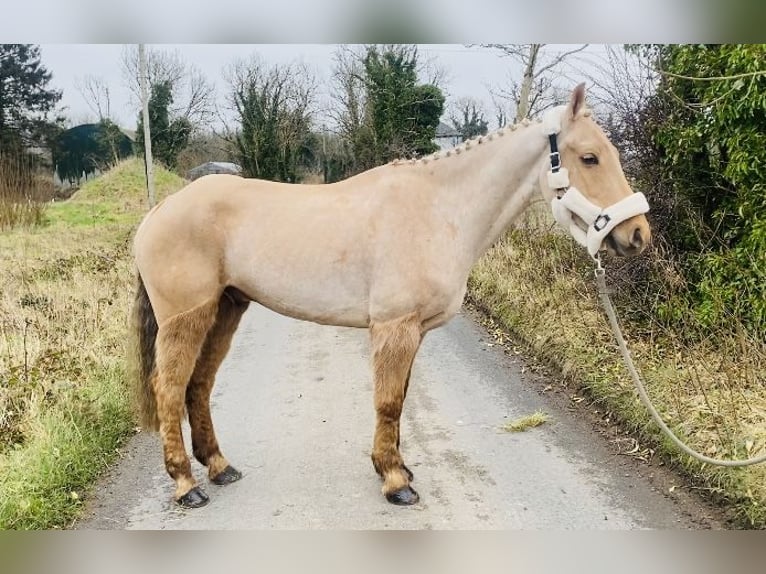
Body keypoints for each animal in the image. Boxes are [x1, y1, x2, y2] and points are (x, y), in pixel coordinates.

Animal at [129, 84, 652, 508]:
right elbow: (387, 402)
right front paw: (395, 482)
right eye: (589, 157)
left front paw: (397, 467)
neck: (438, 209)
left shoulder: (413, 331)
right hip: (186, 318)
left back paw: (219, 468)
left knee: (198, 386)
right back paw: (185, 485)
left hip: (226, 309)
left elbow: (399, 399)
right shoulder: (394, 327)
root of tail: (158, 212)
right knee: (169, 389)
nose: (637, 234)